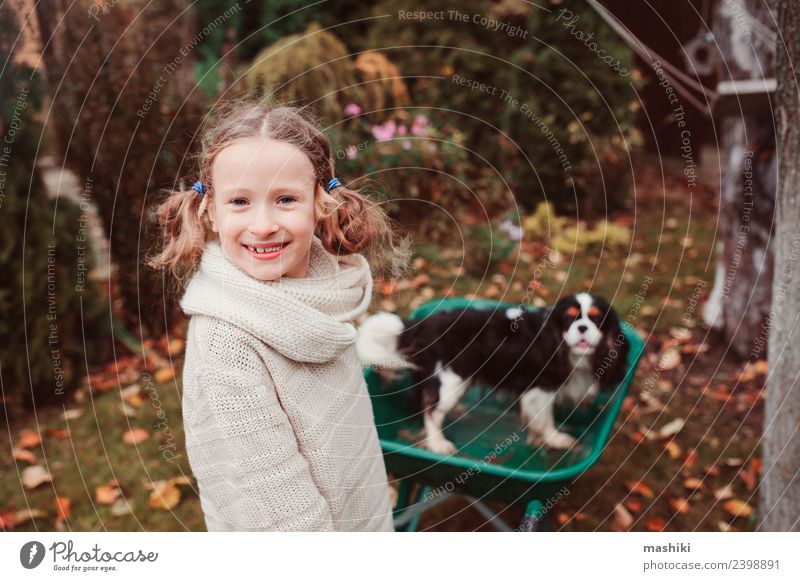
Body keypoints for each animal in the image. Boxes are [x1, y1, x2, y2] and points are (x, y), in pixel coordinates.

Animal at [358, 292, 632, 450]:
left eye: (596, 319)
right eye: (569, 319)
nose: (583, 328)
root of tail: (423, 324)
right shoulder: (540, 390)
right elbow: (545, 420)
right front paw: (554, 439)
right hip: (451, 381)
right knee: (431, 411)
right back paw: (438, 444)